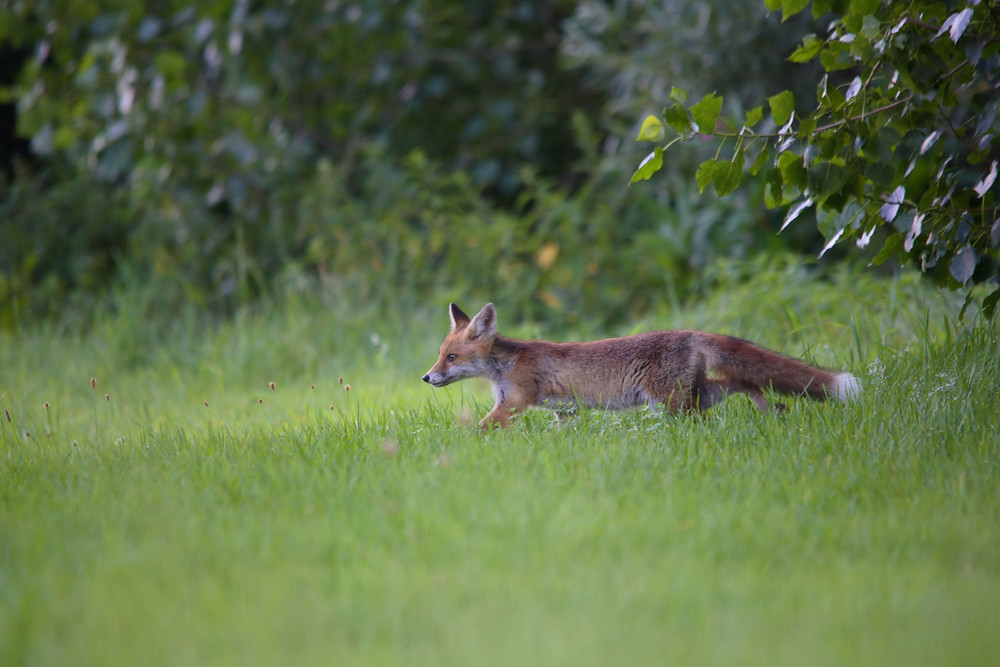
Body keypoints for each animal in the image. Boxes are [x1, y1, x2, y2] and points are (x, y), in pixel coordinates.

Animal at [422, 302, 860, 428]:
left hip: (668, 402)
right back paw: (775, 410)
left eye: (451, 357)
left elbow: (480, 429)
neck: (505, 364)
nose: (426, 377)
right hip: (697, 393)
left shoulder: (515, 401)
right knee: (744, 382)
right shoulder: (563, 411)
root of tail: (689, 331)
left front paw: (460, 447)